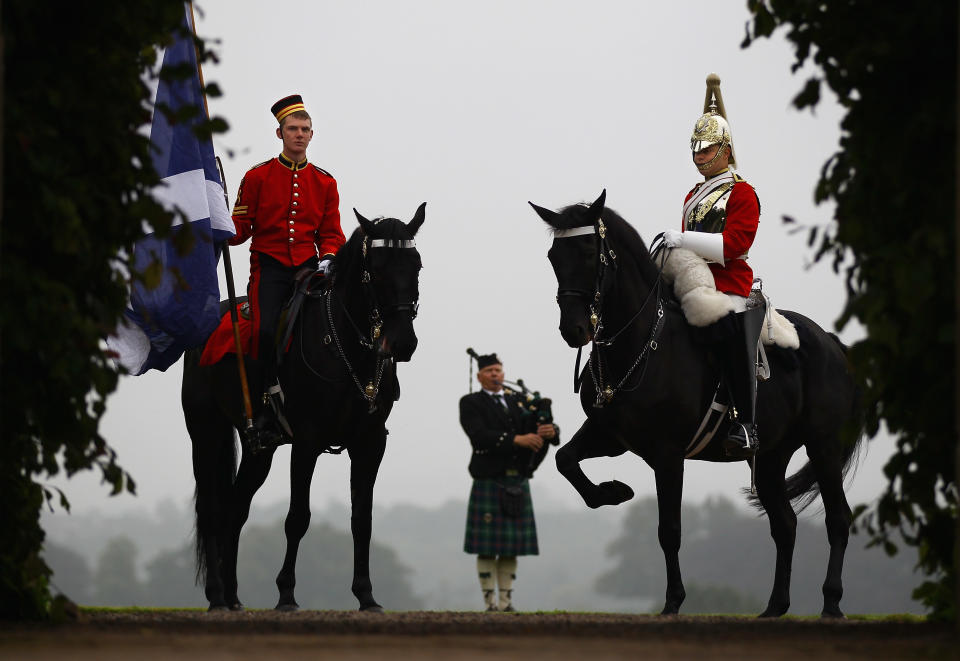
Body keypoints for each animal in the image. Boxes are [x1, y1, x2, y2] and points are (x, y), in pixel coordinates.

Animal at [182, 204, 426, 612]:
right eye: (376, 268)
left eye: (417, 265)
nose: (403, 342)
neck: (345, 344)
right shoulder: (307, 441)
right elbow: (298, 517)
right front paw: (286, 594)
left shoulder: (370, 442)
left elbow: (362, 519)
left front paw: (366, 595)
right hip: (206, 432)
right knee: (212, 509)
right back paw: (216, 595)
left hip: (257, 449)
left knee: (235, 507)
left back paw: (232, 595)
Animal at [528, 191, 868, 620]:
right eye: (554, 256)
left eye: (590, 252)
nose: (573, 330)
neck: (641, 344)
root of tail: (834, 344)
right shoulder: (610, 435)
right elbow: (565, 460)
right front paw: (612, 492)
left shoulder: (668, 453)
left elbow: (669, 530)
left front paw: (674, 600)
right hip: (771, 455)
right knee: (784, 524)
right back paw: (775, 606)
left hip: (823, 445)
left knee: (838, 518)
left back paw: (832, 602)